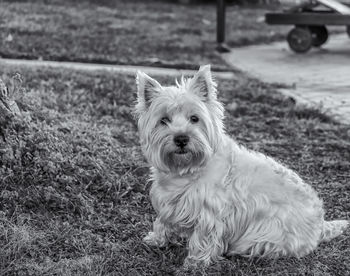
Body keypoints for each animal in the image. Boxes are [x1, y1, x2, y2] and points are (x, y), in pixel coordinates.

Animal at [133, 65, 348, 266]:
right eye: (163, 120)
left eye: (195, 118)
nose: (181, 139)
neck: (186, 170)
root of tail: (320, 224)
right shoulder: (168, 202)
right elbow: (163, 221)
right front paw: (157, 239)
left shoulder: (210, 212)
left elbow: (203, 237)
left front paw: (195, 262)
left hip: (268, 235)